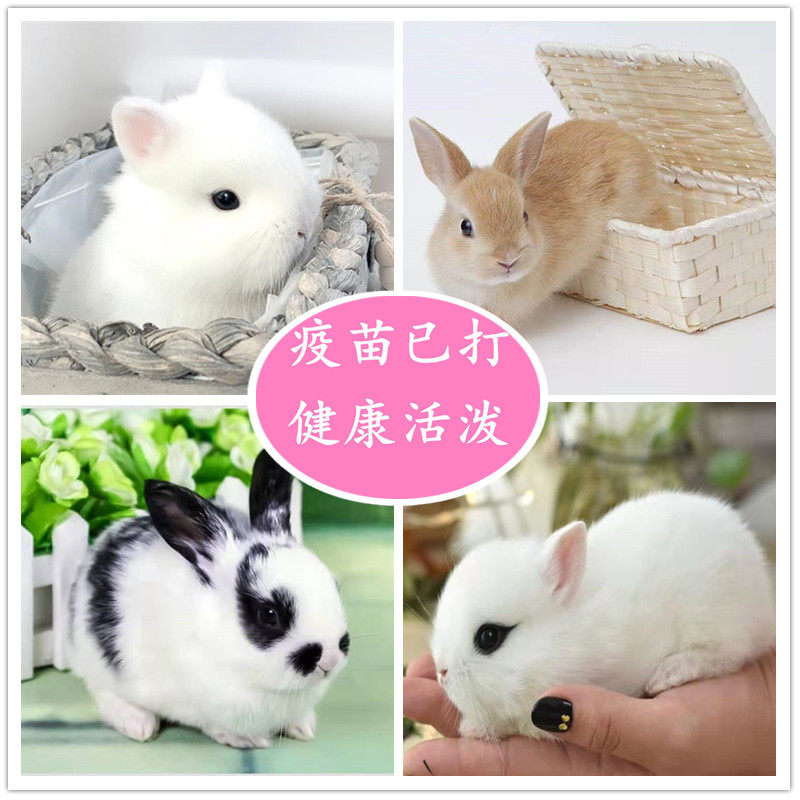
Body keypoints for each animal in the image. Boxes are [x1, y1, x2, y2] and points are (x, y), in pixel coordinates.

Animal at [67, 450, 349, 748]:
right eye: (269, 614)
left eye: (333, 584)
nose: (330, 659)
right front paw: (247, 740)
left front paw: (303, 726)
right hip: (97, 663)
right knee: (104, 693)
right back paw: (139, 725)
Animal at [431, 491, 775, 741]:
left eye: (489, 637)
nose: (442, 672)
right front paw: (473, 727)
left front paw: (471, 727)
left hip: (717, 615)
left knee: (728, 655)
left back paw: (669, 673)